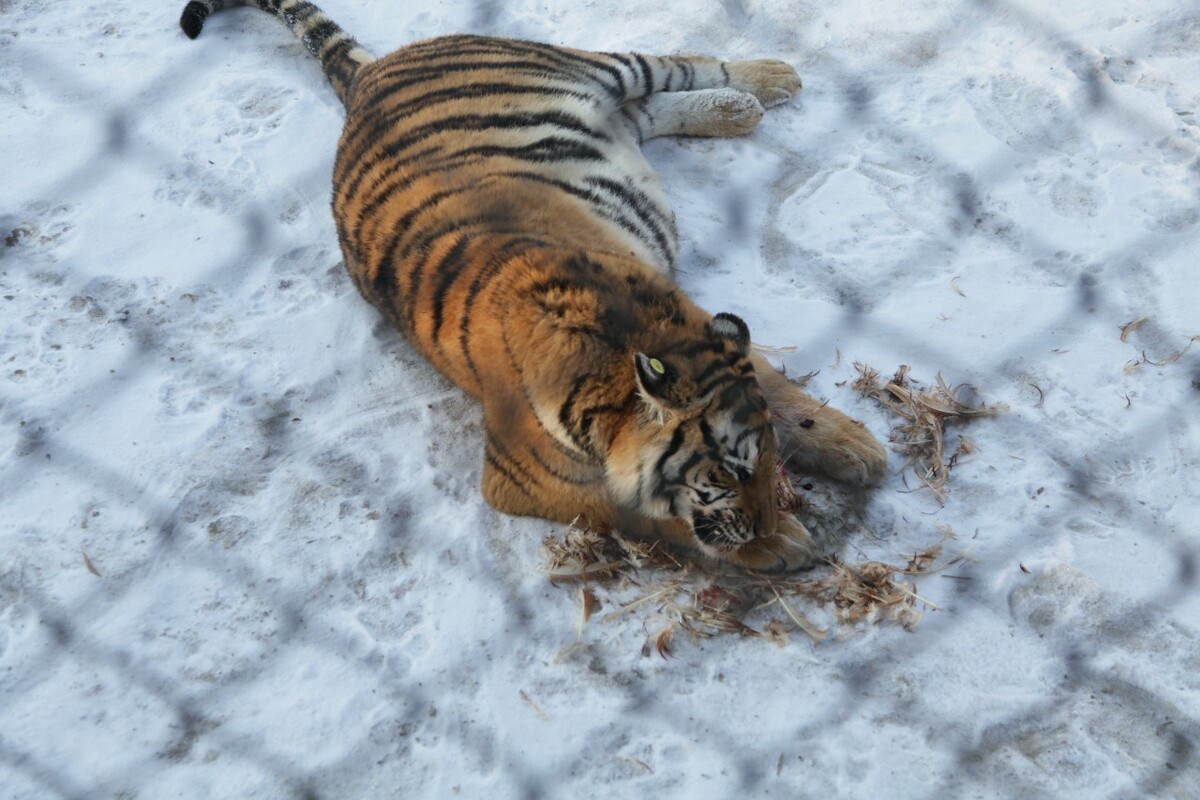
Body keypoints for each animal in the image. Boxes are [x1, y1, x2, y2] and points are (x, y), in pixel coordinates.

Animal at [182, 1, 888, 575]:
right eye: (732, 472)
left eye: (765, 459)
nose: (768, 518)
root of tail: (367, 74)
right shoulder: (521, 481)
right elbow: (643, 515)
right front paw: (778, 542)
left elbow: (772, 386)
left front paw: (853, 447)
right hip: (601, 100)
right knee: (649, 108)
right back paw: (748, 104)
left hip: (599, 68)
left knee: (682, 66)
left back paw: (769, 79)